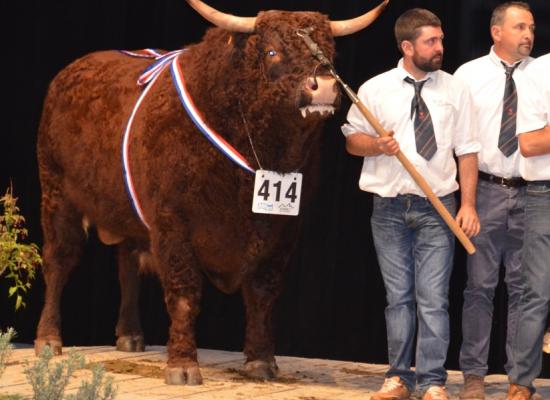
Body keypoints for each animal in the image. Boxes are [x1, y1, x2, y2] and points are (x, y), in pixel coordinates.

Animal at [35, 0, 388, 384]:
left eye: (329, 54)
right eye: (271, 51)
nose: (322, 87)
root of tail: (71, 70)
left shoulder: (284, 230)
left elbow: (263, 293)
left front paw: (261, 360)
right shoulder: (173, 222)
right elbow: (184, 293)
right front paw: (182, 365)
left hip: (127, 212)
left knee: (127, 263)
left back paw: (130, 335)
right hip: (56, 193)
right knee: (59, 260)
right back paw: (48, 339)